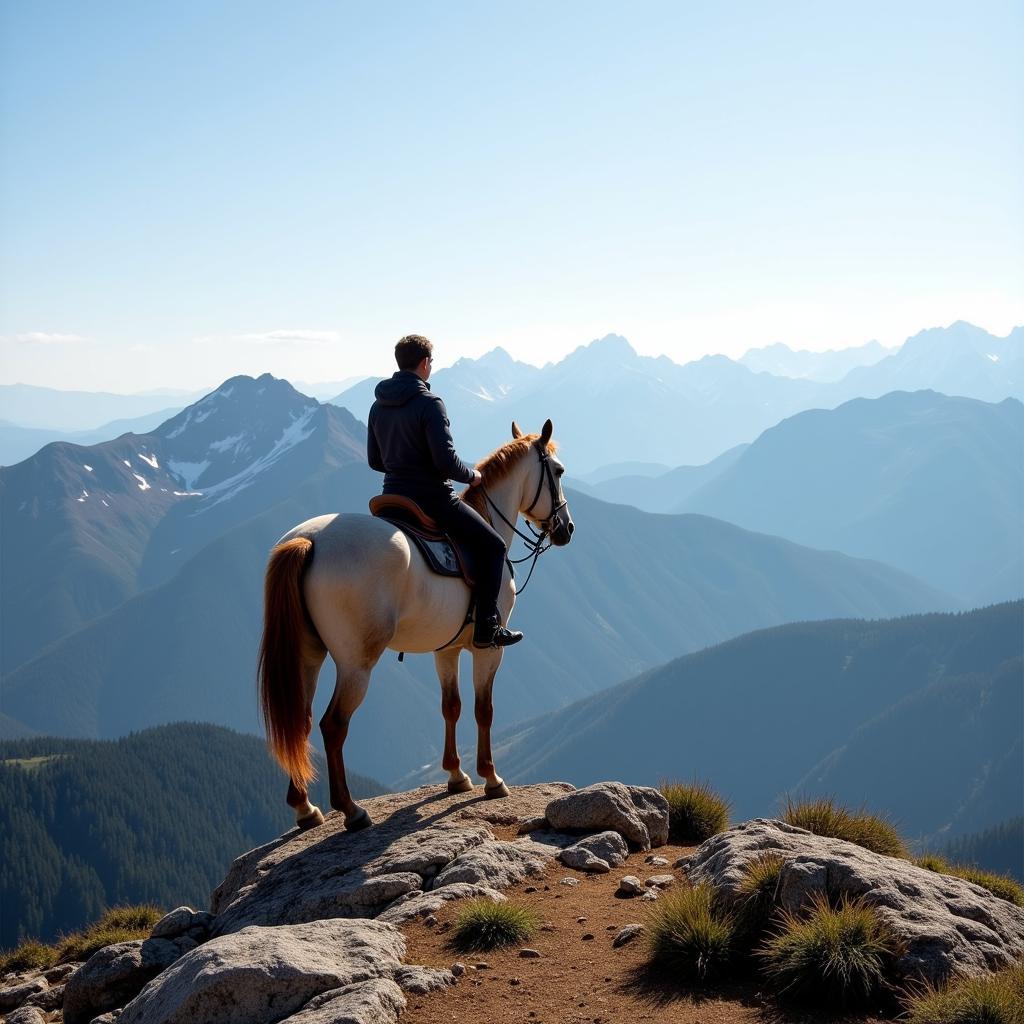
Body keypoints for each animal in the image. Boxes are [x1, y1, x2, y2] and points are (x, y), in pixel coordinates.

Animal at [258, 419, 577, 827]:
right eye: (559, 471)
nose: (566, 528)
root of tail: (308, 541)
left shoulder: (447, 650)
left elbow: (451, 706)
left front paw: (456, 776)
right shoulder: (487, 649)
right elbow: (483, 709)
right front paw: (491, 778)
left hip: (306, 656)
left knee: (299, 720)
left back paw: (306, 808)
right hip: (355, 664)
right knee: (333, 725)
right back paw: (351, 810)